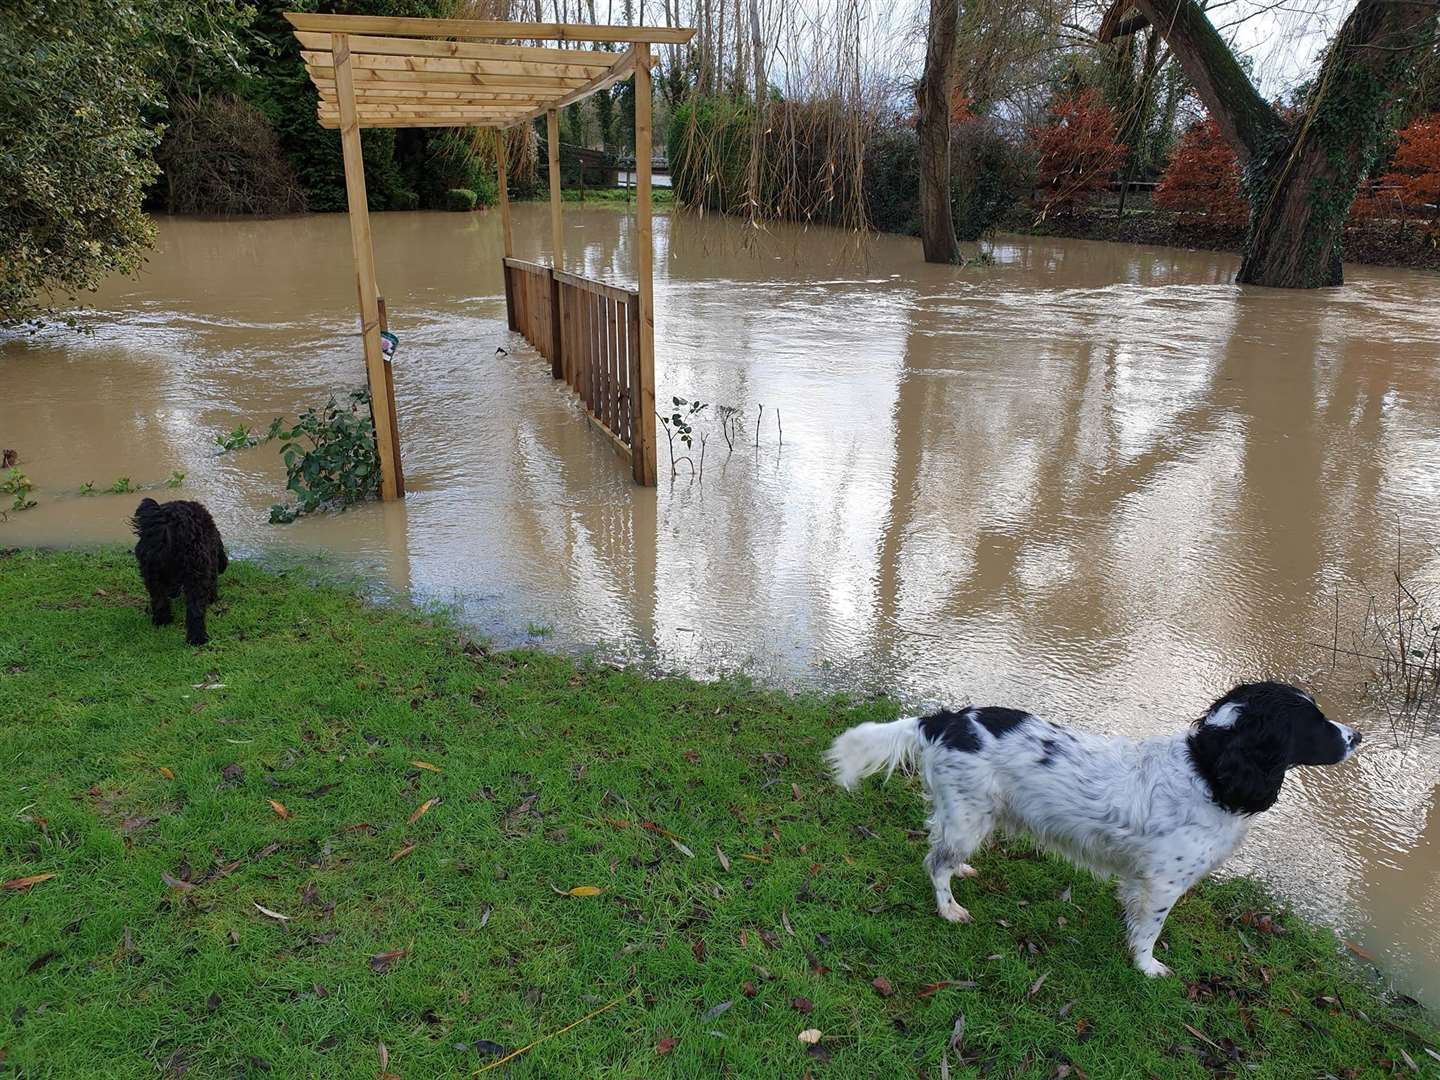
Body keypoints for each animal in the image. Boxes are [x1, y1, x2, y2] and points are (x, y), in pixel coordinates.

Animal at [131, 498, 227, 642]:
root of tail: (168, 522)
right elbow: (212, 583)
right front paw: (213, 599)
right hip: (196, 573)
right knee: (195, 610)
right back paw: (197, 638)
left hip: (151, 573)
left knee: (159, 600)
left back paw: (162, 621)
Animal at [835, 685, 1359, 979]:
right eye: (1314, 723)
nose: (1356, 735)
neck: (1208, 772)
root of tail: (944, 719)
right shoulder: (1164, 884)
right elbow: (1150, 930)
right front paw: (1147, 967)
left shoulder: (1140, 878)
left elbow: (1133, 913)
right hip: (969, 818)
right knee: (934, 862)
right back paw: (950, 909)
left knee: (941, 850)